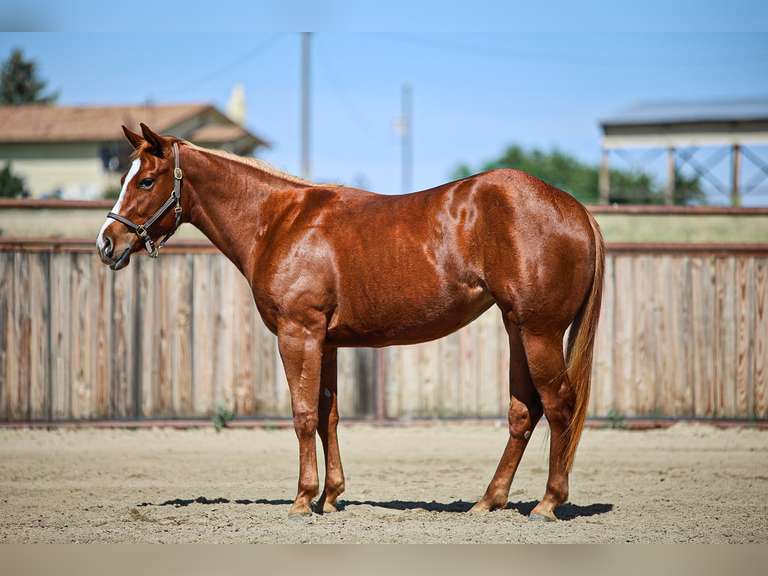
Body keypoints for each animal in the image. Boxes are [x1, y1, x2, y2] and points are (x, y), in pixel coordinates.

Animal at [97, 123, 604, 521]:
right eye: (124, 176)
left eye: (146, 181)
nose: (107, 243)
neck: (280, 222)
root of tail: (576, 210)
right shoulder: (326, 342)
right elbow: (328, 415)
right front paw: (331, 496)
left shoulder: (298, 334)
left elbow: (303, 415)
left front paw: (303, 500)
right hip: (517, 329)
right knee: (525, 410)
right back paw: (488, 501)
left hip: (539, 333)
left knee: (559, 405)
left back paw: (547, 503)